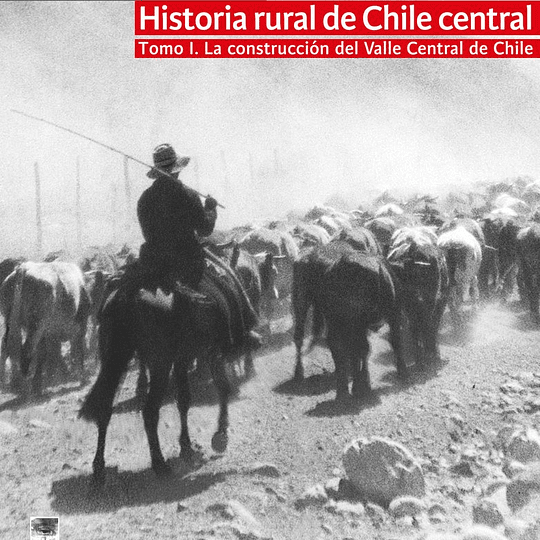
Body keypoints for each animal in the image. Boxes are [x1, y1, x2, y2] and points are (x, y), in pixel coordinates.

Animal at [0, 260, 91, 394]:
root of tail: (23, 268)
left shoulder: (46, 333)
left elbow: (43, 353)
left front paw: (38, 384)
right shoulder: (80, 325)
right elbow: (78, 349)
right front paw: (82, 379)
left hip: (11, 321)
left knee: (6, 347)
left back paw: (8, 383)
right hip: (36, 326)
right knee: (26, 350)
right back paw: (23, 388)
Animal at [79, 262, 256, 486]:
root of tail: (126, 295)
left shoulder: (181, 360)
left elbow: (184, 400)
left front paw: (187, 446)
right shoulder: (211, 353)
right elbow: (223, 388)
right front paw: (220, 435)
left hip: (114, 361)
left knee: (105, 408)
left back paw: (99, 470)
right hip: (159, 364)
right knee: (149, 411)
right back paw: (159, 464)